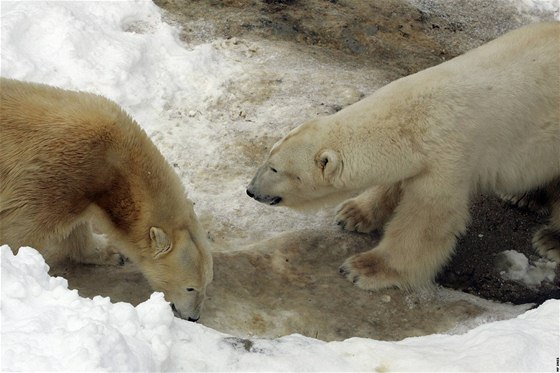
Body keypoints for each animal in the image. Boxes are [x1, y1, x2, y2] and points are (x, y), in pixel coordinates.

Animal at [0, 77, 212, 318]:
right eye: (190, 287)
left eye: (207, 283)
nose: (194, 317)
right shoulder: (55, 176)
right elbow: (19, 231)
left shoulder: (82, 190)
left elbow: (77, 228)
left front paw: (113, 253)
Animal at [248, 22, 560, 290]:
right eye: (269, 156)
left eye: (275, 169)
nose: (251, 191)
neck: (416, 117)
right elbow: (393, 183)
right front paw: (352, 213)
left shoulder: (449, 157)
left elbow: (427, 220)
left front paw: (363, 268)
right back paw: (523, 196)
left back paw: (550, 239)